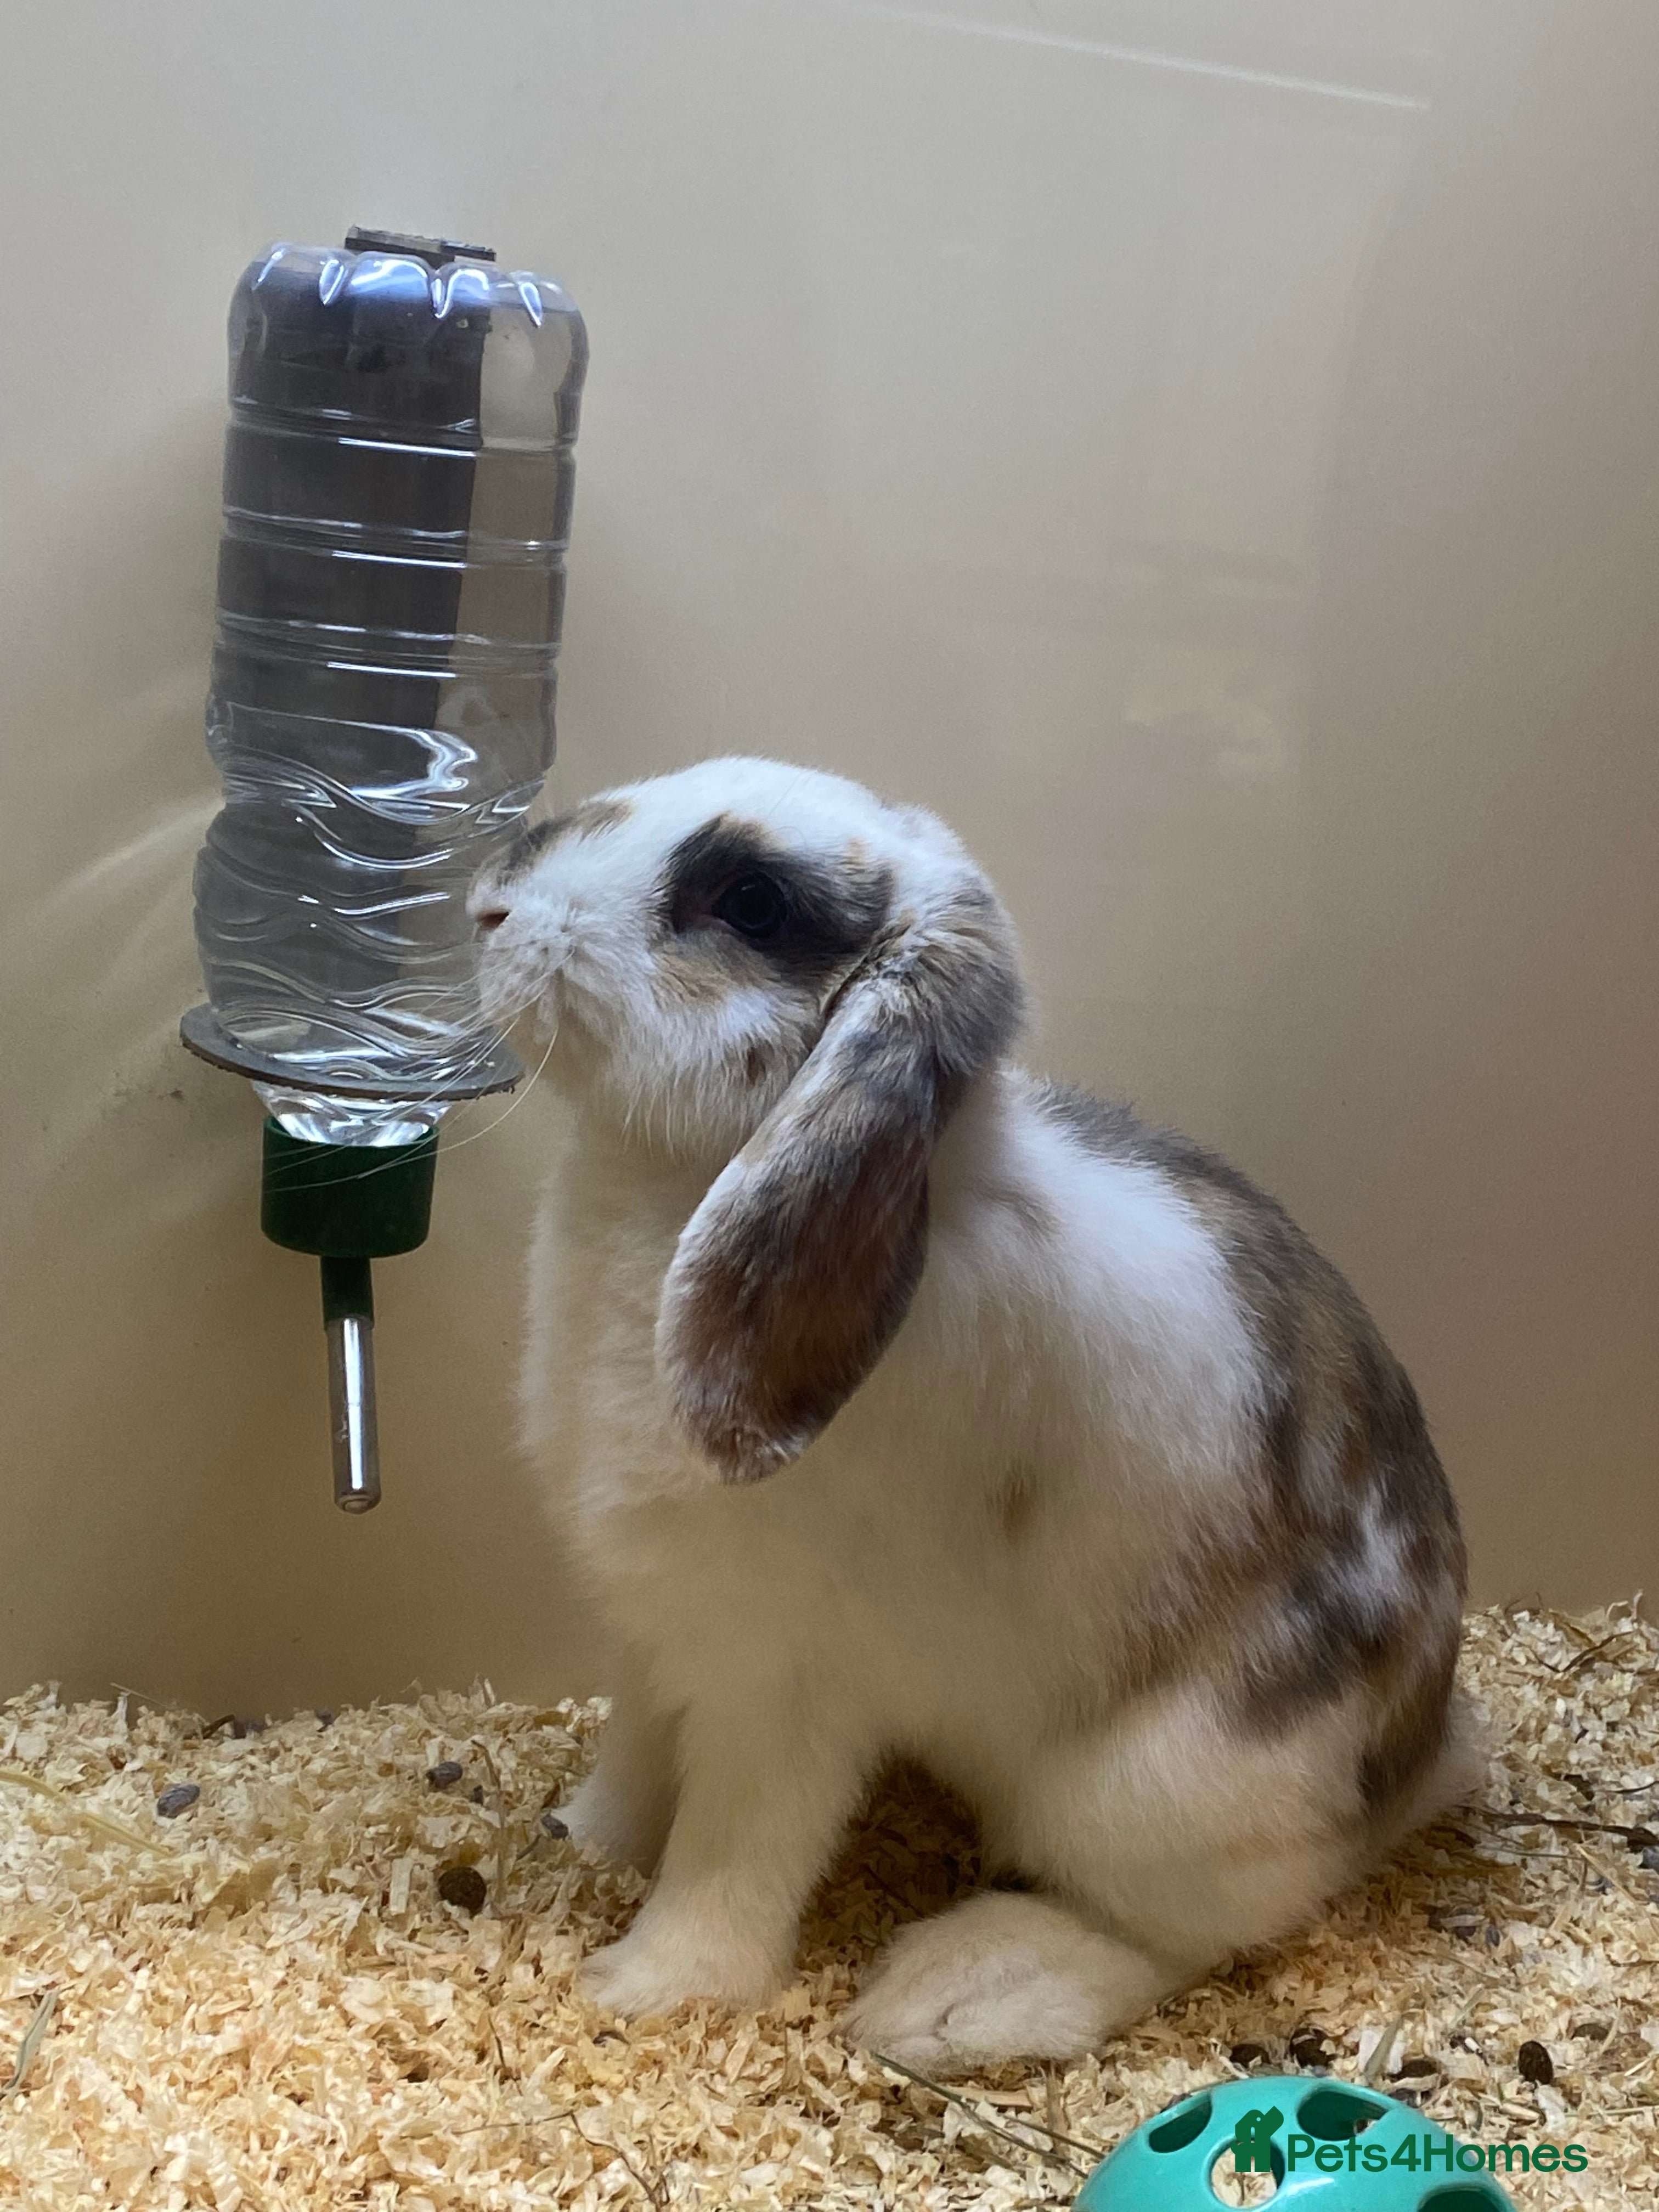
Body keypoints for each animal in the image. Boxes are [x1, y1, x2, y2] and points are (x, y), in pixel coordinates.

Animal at [469, 755, 1479, 2073]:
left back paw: (959, 1995)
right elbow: (637, 1762)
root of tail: (1424, 1749)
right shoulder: (654, 1632)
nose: (489, 904)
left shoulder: (781, 1681)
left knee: (1180, 1931)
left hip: (1155, 1788)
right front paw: (579, 1838)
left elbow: (733, 1851)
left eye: (750, 903)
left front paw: (647, 1987)